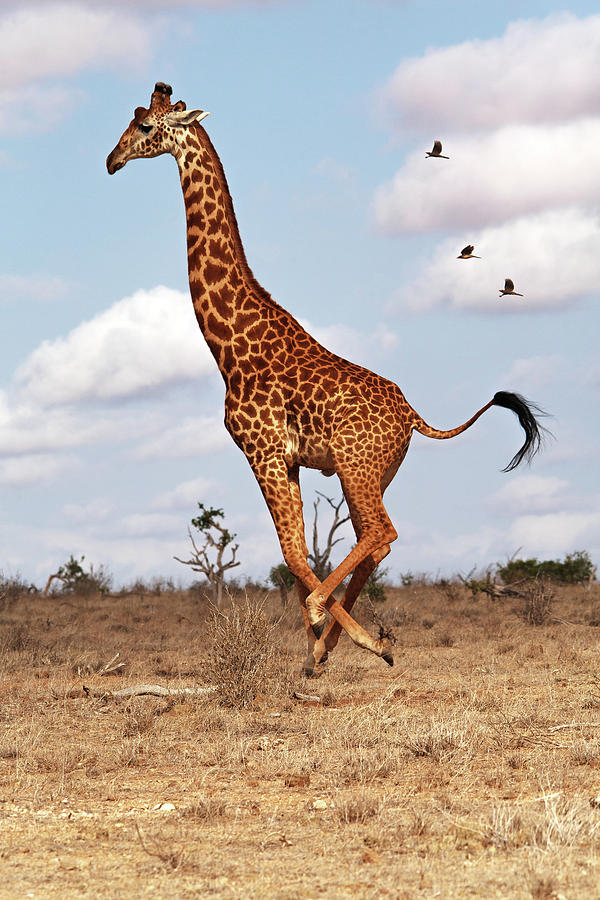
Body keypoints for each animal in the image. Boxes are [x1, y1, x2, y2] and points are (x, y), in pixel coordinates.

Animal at [105, 84, 548, 676]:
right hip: (370, 473)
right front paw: (316, 647)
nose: (112, 160)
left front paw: (319, 625)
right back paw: (345, 643)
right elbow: (293, 551)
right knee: (375, 540)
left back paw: (351, 632)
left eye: (147, 128)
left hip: (357, 469)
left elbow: (293, 551)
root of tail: (414, 417)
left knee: (382, 531)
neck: (227, 346)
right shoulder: (286, 458)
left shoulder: (264, 451)